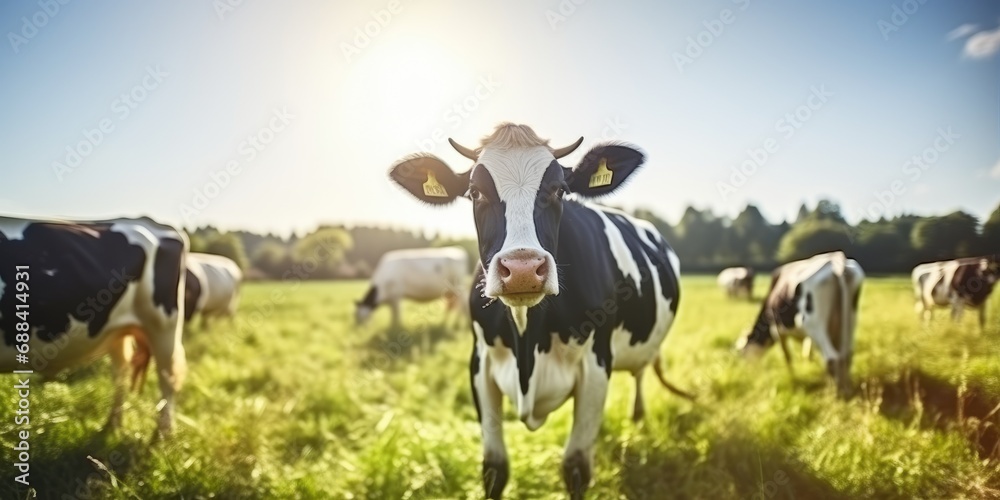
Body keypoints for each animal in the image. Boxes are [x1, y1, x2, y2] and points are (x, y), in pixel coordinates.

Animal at [0, 217, 188, 436]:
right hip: (119, 331)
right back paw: (113, 425)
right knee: (121, 371)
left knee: (167, 377)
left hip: (163, 325)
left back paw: (162, 435)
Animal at [386, 122, 692, 500]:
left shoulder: (596, 365)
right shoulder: (480, 364)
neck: (527, 341)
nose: (521, 269)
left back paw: (637, 418)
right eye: (475, 192)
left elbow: (576, 467)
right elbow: (494, 469)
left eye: (560, 191)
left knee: (639, 375)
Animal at [732, 252, 864, 396]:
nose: (746, 372)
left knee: (832, 358)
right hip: (850, 320)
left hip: (814, 324)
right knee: (846, 355)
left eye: (740, 352)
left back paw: (836, 393)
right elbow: (808, 352)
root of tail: (835, 260)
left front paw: (792, 378)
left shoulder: (777, 329)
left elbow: (787, 356)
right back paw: (847, 388)